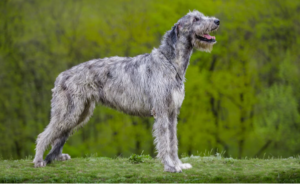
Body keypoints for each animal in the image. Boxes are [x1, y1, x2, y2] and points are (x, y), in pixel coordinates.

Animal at [34, 10, 219, 172]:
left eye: (200, 16)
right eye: (196, 19)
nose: (217, 21)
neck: (171, 63)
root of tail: (61, 76)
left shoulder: (173, 112)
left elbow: (173, 141)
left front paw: (178, 164)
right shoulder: (161, 111)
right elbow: (164, 142)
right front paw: (170, 166)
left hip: (81, 113)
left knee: (60, 134)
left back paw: (56, 157)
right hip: (69, 111)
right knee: (45, 134)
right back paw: (38, 161)